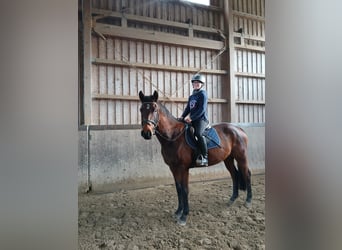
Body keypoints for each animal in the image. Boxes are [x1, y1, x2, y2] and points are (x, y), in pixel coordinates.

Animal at [138, 91, 251, 226]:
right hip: (228, 159)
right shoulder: (173, 168)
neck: (173, 137)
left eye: (154, 109)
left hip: (241, 157)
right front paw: (178, 211)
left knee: (246, 174)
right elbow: (178, 189)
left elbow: (185, 190)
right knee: (234, 175)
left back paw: (248, 200)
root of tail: (238, 129)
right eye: (141, 109)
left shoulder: (183, 168)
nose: (146, 133)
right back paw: (232, 200)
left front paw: (184, 216)